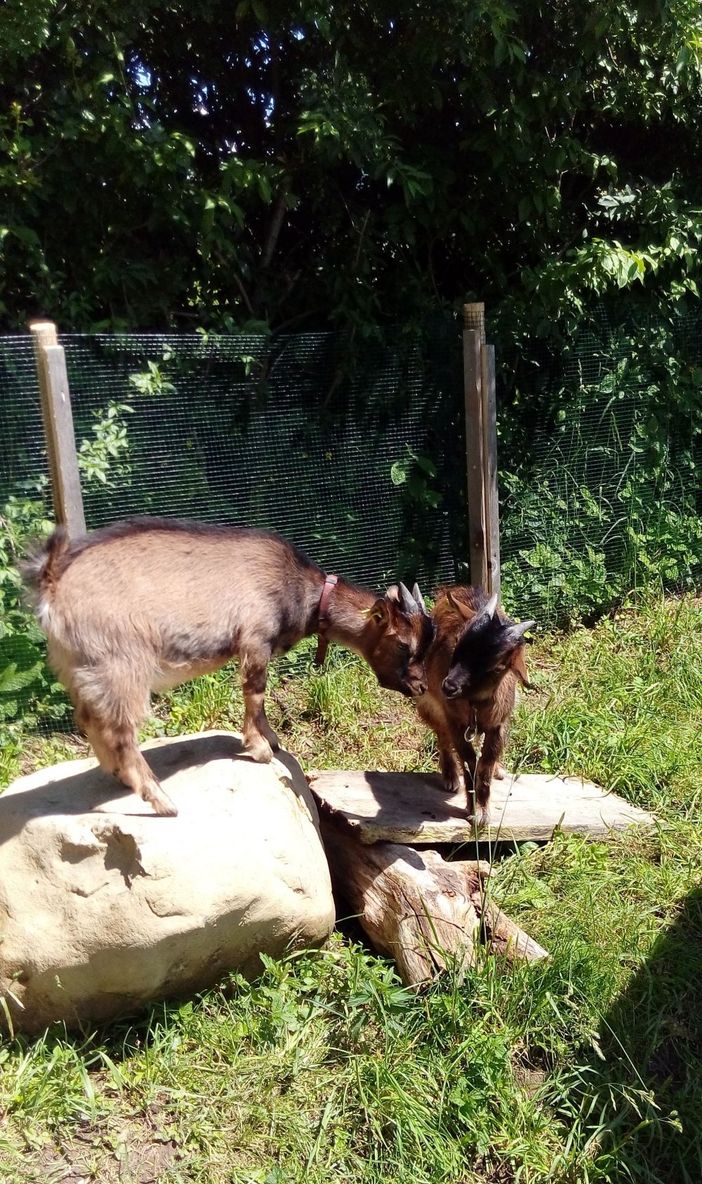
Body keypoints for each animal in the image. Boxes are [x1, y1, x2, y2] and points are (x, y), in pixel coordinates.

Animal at [24, 518, 430, 814]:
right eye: (403, 644)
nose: (422, 686)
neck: (303, 591)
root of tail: (52, 585)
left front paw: (273, 740)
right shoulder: (255, 639)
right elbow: (256, 693)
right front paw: (260, 749)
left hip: (79, 667)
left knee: (88, 719)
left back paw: (119, 777)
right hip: (121, 664)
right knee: (121, 730)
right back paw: (162, 801)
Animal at [414, 582, 532, 824]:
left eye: (498, 666)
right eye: (459, 641)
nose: (449, 686)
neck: (476, 705)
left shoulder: (498, 725)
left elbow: (486, 764)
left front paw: (483, 811)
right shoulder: (455, 722)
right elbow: (468, 759)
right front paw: (472, 808)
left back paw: (499, 770)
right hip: (429, 705)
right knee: (442, 735)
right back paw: (450, 777)